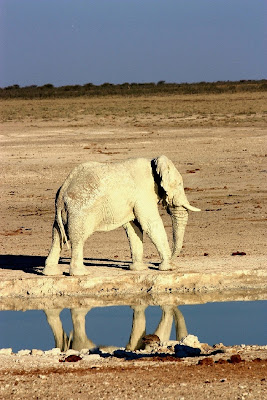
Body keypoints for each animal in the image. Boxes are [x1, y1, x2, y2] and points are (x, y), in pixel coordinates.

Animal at [43, 155, 200, 276]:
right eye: (179, 185)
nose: (155, 263)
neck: (154, 165)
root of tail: (63, 189)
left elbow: (133, 227)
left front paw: (139, 269)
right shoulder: (143, 194)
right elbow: (151, 224)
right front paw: (169, 268)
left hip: (65, 211)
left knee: (57, 235)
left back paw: (50, 272)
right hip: (80, 210)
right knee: (77, 238)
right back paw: (81, 273)